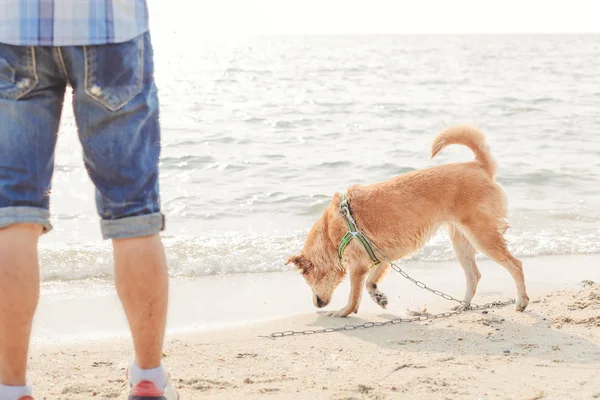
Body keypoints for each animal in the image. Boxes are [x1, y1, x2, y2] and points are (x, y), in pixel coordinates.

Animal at [288, 126, 528, 318]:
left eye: (307, 279)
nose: (316, 304)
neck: (332, 231)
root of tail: (478, 165)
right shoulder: (386, 255)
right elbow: (371, 281)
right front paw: (378, 296)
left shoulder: (357, 267)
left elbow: (354, 296)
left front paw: (342, 312)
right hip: (460, 240)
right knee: (474, 275)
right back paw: (463, 305)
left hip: (482, 236)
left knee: (515, 265)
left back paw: (521, 301)